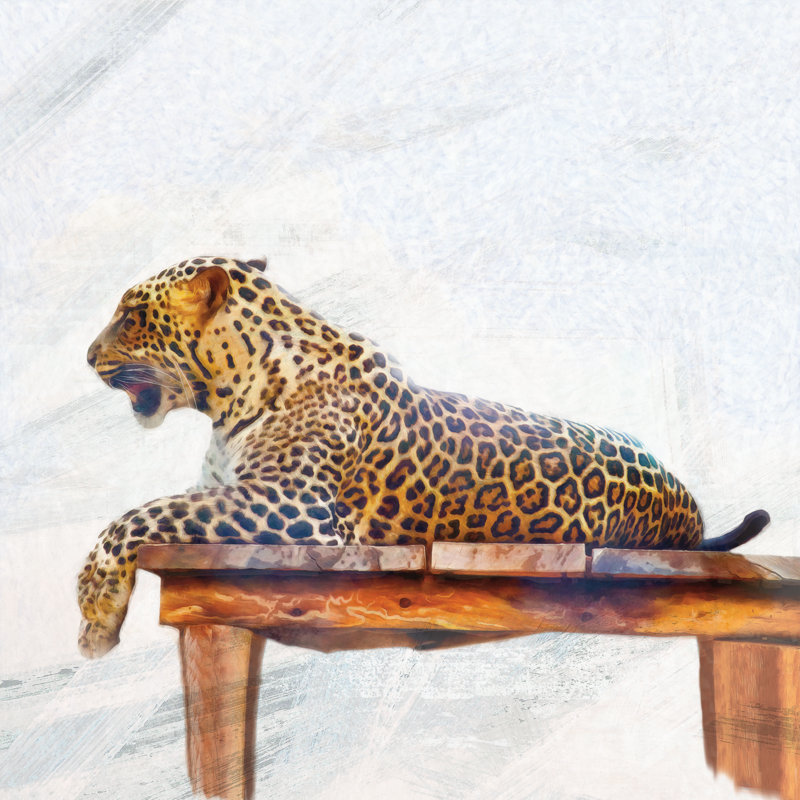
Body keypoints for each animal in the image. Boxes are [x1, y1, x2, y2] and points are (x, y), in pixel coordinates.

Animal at [78, 256, 769, 657]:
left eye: (131, 314)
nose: (86, 356)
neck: (228, 394)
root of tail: (692, 516)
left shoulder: (298, 511)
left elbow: (138, 515)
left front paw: (96, 617)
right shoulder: (238, 493)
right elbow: (164, 506)